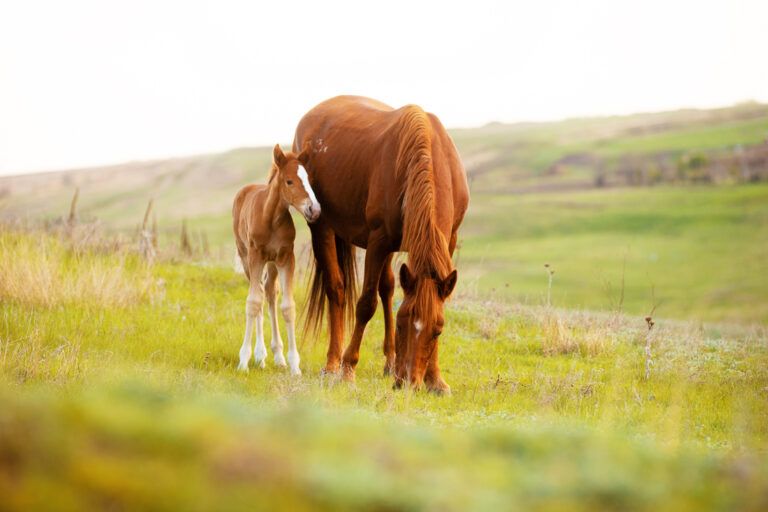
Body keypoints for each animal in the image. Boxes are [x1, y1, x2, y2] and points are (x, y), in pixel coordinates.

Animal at [232, 143, 320, 376]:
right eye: (289, 181)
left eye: (309, 179)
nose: (314, 210)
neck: (270, 217)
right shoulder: (255, 256)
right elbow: (253, 303)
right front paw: (243, 361)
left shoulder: (286, 257)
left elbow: (288, 307)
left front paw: (294, 365)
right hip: (246, 257)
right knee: (261, 295)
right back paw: (260, 355)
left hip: (271, 264)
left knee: (270, 293)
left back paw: (277, 355)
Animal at [295, 96, 469, 394]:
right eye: (402, 325)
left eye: (437, 331)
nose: (410, 383)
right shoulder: (378, 242)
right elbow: (366, 304)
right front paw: (348, 369)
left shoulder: (447, 241)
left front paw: (436, 380)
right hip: (321, 226)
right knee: (336, 289)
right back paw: (333, 364)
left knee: (386, 287)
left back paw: (389, 362)